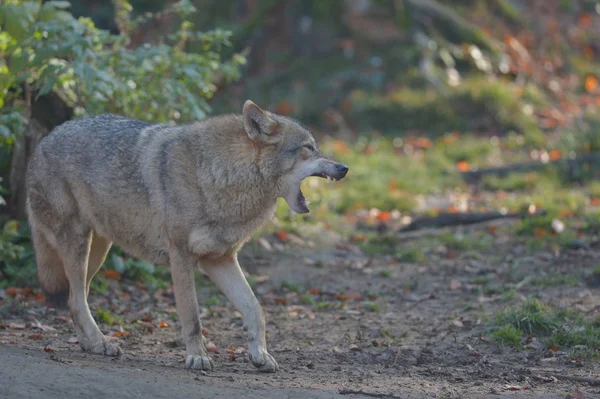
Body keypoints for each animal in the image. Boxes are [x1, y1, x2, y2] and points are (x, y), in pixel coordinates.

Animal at [25, 99, 350, 372]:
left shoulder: (220, 259)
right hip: (80, 245)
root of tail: (43, 141)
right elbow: (192, 317)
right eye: (308, 147)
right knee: (76, 300)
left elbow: (255, 309)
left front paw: (260, 355)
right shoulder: (181, 256)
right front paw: (197, 358)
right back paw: (100, 342)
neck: (222, 178)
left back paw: (91, 343)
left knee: (73, 298)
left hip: (98, 251)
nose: (344, 167)